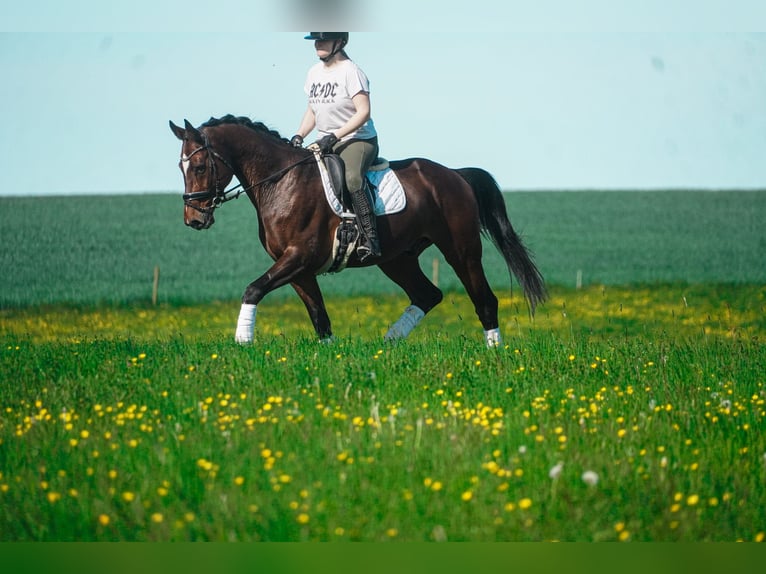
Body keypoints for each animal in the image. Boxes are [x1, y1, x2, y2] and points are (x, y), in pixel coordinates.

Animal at [169, 115, 546, 347]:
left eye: (199, 166)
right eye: (181, 167)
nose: (194, 220)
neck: (280, 181)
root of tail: (455, 174)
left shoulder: (298, 258)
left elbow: (252, 289)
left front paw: (242, 341)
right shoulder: (298, 270)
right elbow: (319, 317)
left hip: (461, 250)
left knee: (484, 299)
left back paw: (493, 351)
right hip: (397, 258)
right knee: (427, 295)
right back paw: (389, 343)